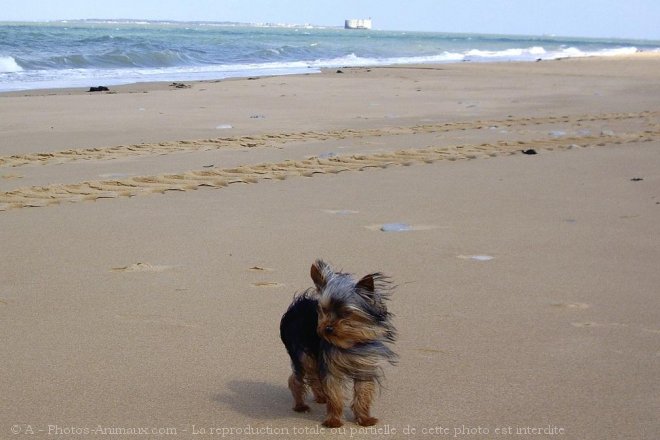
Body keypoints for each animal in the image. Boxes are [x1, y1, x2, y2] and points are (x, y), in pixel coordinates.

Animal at [280, 260, 398, 428]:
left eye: (346, 313)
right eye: (324, 310)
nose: (327, 328)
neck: (349, 342)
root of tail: (298, 304)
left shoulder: (364, 365)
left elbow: (363, 393)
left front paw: (365, 419)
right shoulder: (332, 368)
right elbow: (335, 395)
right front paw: (333, 421)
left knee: (314, 376)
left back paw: (321, 397)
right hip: (301, 353)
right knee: (297, 378)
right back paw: (300, 405)